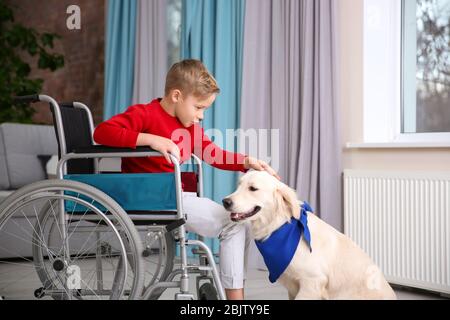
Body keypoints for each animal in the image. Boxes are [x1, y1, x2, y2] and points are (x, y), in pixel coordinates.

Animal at [223, 171, 396, 298]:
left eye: (253, 188)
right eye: (239, 185)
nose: (225, 201)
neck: (280, 226)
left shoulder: (312, 282)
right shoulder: (293, 287)